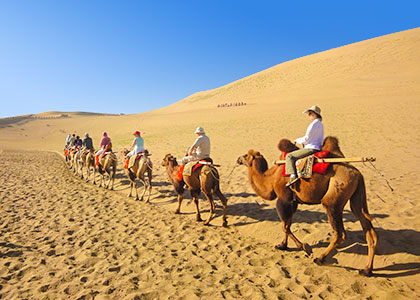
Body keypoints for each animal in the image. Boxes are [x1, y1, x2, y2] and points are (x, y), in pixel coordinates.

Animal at [236, 137, 378, 276]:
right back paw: (367, 270)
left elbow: (284, 226)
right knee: (368, 228)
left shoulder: (283, 199)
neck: (270, 178)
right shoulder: (293, 202)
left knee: (339, 232)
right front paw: (282, 245)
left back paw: (319, 259)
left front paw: (305, 247)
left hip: (334, 197)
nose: (238, 159)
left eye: (246, 155)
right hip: (356, 198)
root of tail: (358, 174)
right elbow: (287, 224)